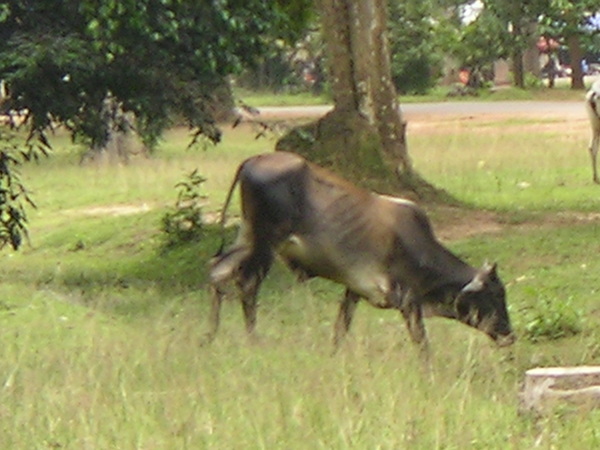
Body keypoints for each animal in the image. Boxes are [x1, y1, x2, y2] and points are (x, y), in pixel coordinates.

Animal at [207, 153, 516, 350]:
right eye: (494, 295)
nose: (509, 336)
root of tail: (253, 160)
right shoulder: (408, 301)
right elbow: (422, 344)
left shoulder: (353, 290)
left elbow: (341, 329)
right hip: (265, 244)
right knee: (247, 285)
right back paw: (251, 340)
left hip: (247, 238)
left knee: (217, 271)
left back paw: (210, 337)